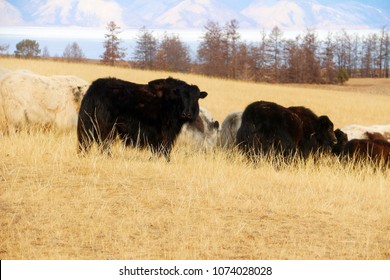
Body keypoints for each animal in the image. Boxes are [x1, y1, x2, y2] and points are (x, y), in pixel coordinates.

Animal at [76, 76, 207, 161]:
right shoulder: (167, 131)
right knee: (103, 142)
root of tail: (94, 87)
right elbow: (165, 146)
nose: (186, 114)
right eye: (181, 98)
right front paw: (165, 160)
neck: (172, 102)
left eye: (196, 98)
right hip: (106, 126)